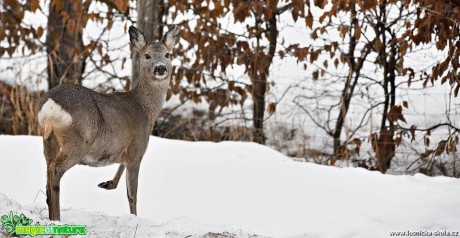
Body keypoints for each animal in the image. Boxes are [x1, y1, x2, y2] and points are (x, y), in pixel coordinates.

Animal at [36, 25, 181, 220]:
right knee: (55, 169)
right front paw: (134, 218)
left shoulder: (124, 147)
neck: (144, 109)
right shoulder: (137, 148)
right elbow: (132, 194)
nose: (160, 68)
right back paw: (57, 219)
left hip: (48, 138)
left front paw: (108, 183)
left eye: (167, 54)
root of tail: (50, 106)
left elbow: (120, 167)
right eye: (147, 55)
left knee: (47, 171)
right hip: (78, 141)